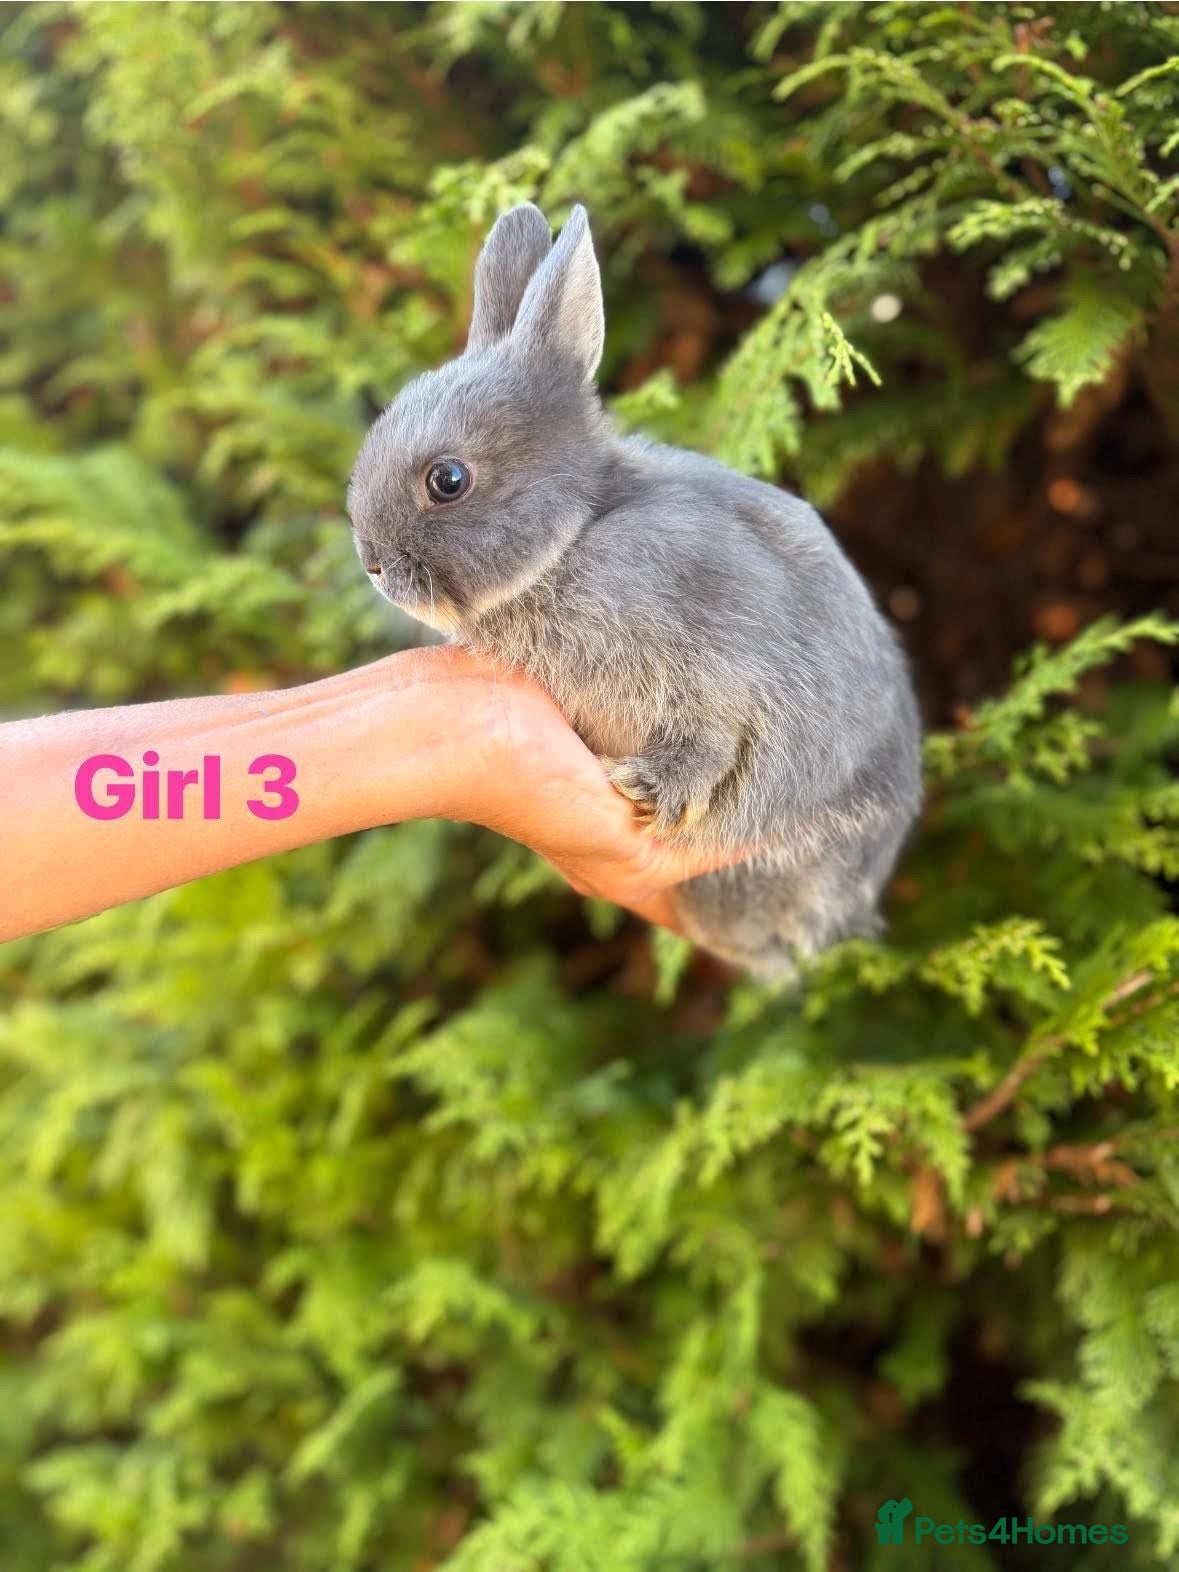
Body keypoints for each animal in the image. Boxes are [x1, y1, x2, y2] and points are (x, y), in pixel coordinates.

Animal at [346, 202, 922, 975]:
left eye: (448, 479)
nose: (373, 565)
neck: (573, 539)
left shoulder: (727, 661)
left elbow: (718, 734)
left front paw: (657, 790)